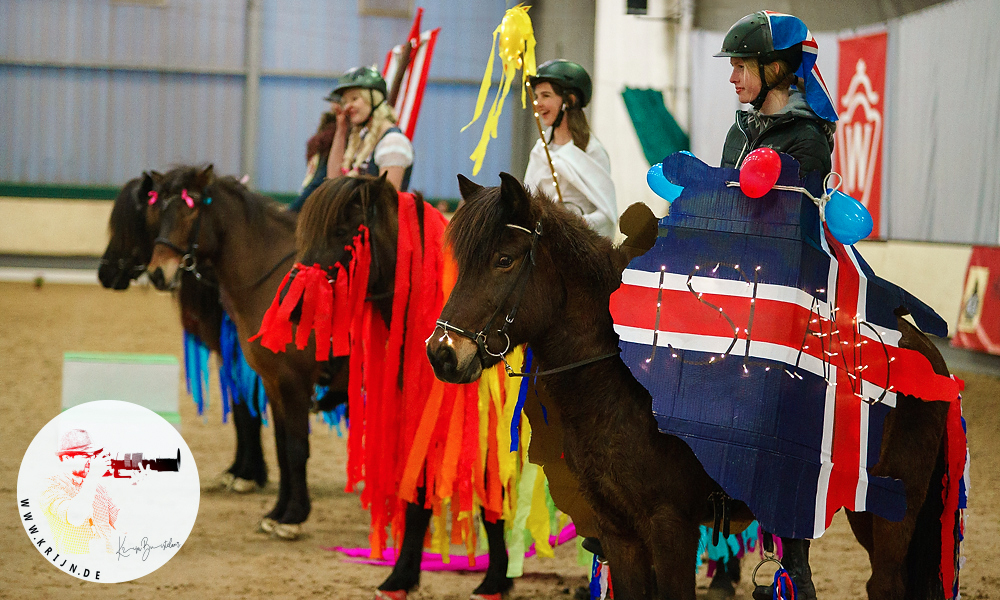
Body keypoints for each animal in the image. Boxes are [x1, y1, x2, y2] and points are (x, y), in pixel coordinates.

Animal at [98, 172, 270, 492]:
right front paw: (240, 470)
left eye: (131, 223)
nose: (104, 272)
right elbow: (241, 411)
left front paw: (248, 474)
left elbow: (246, 411)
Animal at [143, 165, 350, 540]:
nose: (157, 273)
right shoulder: (271, 381)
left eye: (191, 209)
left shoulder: (294, 382)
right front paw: (277, 512)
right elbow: (282, 447)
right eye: (159, 210)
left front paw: (293, 517)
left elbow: (296, 447)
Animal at [292, 173, 512, 600]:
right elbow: (419, 491)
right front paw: (403, 575)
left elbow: (485, 489)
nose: (294, 306)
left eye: (342, 231)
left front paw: (495, 578)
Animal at [430, 171, 960, 596]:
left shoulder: (671, 527)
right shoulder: (620, 532)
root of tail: (927, 350)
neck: (621, 380)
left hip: (892, 513)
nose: (442, 352)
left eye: (504, 259)